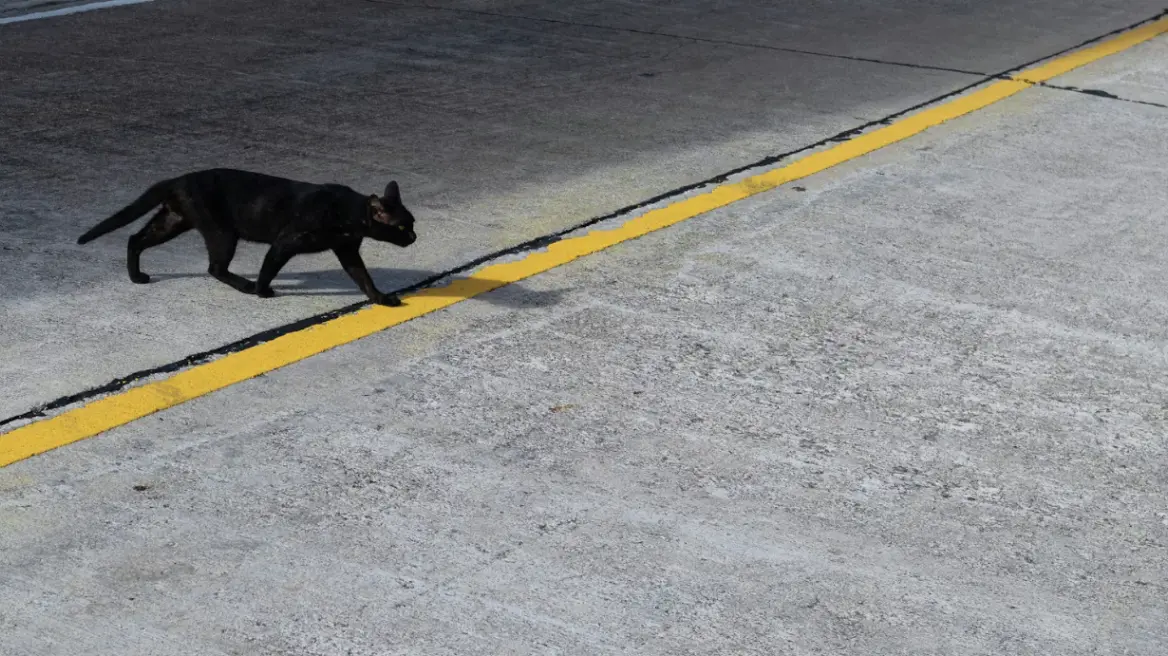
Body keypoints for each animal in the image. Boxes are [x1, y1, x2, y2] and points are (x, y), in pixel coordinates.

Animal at [76, 168, 417, 306]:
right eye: (402, 227)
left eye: (412, 223)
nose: (414, 236)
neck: (348, 213)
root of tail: (178, 179)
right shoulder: (285, 242)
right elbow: (269, 268)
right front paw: (262, 292)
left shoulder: (347, 250)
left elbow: (363, 278)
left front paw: (382, 299)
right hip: (222, 232)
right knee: (215, 267)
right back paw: (246, 286)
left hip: (174, 221)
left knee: (135, 239)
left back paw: (137, 277)